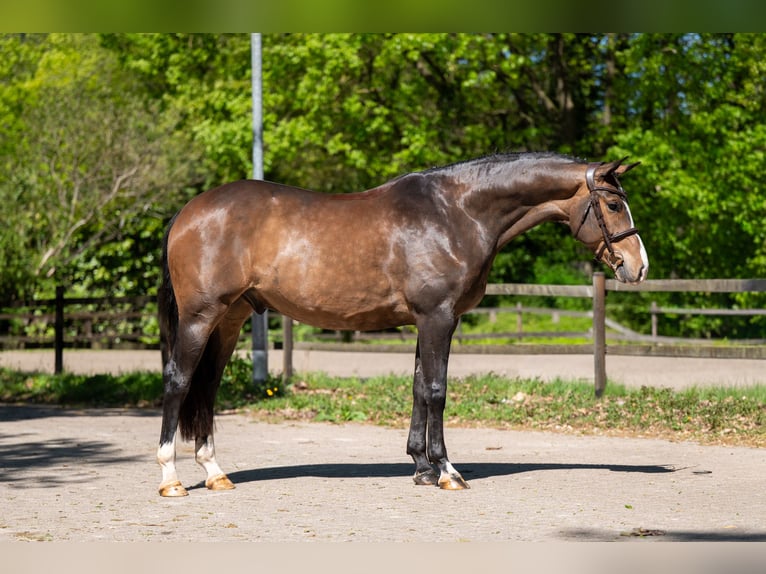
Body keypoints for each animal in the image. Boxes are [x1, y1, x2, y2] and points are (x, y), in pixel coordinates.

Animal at [156, 151, 648, 497]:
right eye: (612, 204)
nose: (638, 267)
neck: (456, 212)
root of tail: (188, 212)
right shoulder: (438, 318)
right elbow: (437, 390)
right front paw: (446, 471)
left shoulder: (426, 321)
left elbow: (417, 388)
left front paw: (422, 468)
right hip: (201, 317)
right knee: (179, 381)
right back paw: (170, 478)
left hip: (230, 320)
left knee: (207, 387)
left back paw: (215, 473)